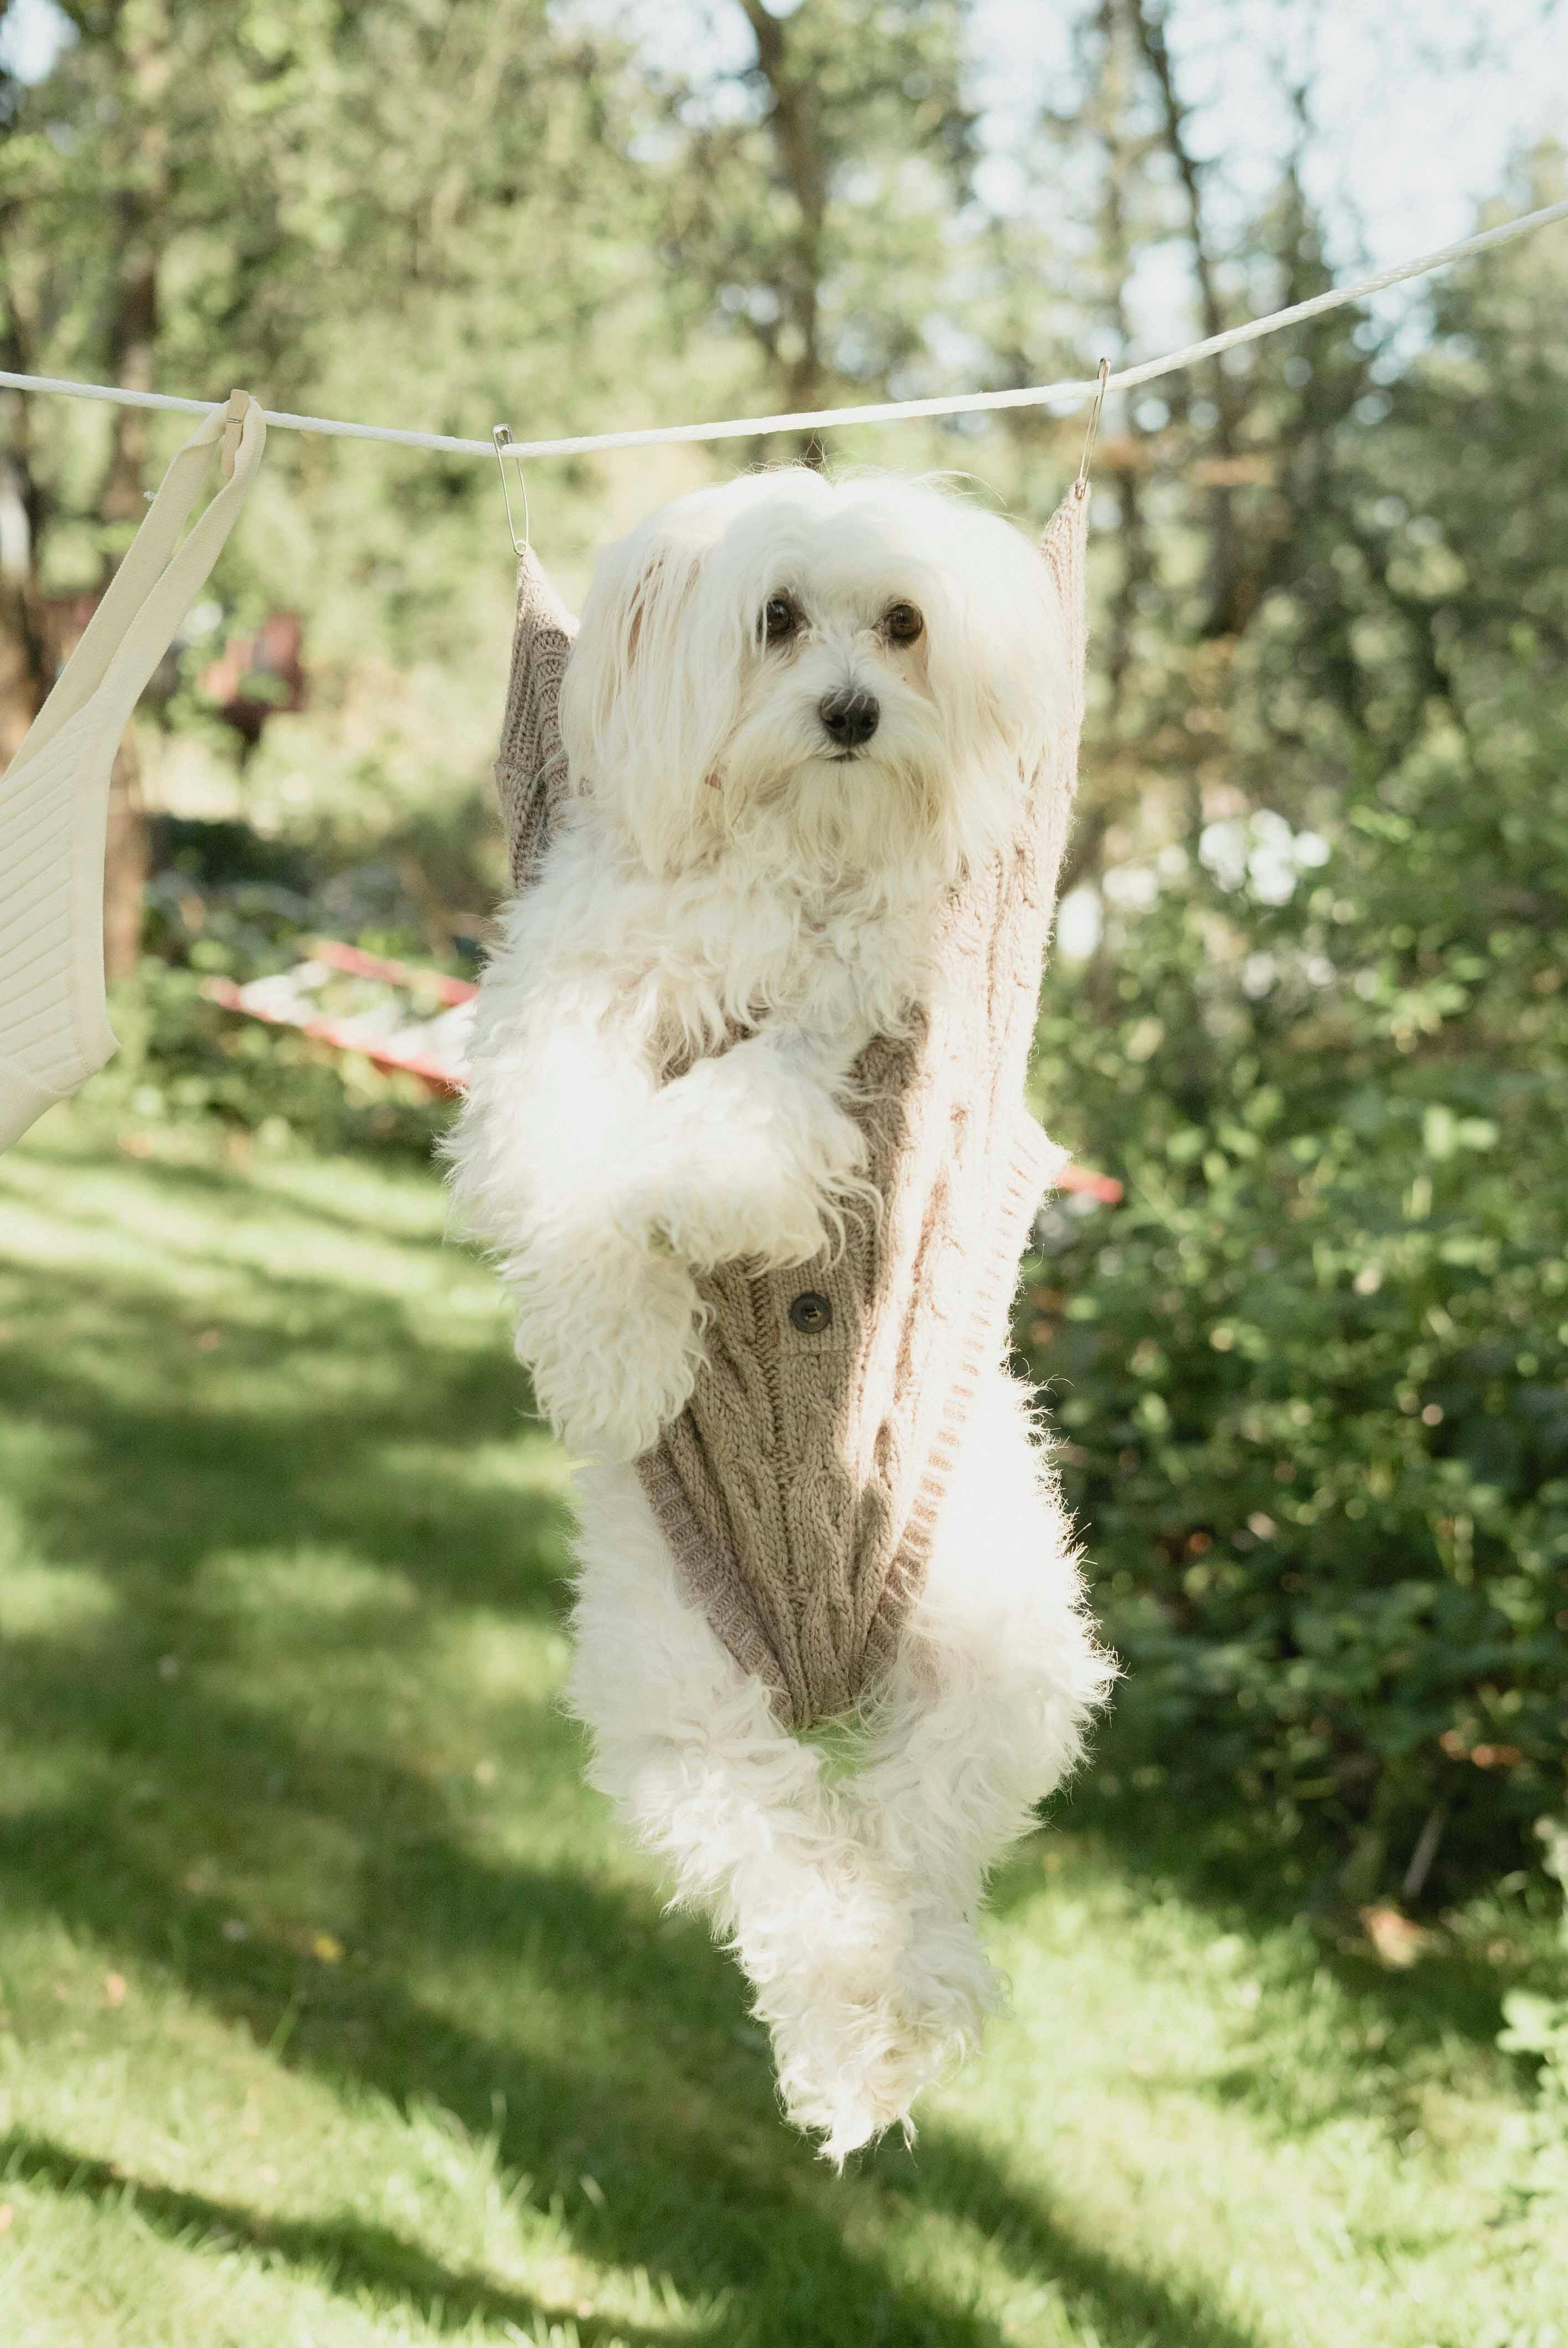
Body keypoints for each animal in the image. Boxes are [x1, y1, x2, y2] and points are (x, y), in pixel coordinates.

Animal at [450, 467, 1112, 2150]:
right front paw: (618, 1364)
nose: (853, 712)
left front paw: (693, 1207)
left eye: (904, 623)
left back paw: (894, 2017)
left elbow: (724, 1133)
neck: (785, 850)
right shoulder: (557, 1018)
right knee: (790, 1866)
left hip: (1007, 1656)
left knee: (915, 1842)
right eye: (777, 619)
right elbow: (567, 1173)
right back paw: (844, 2036)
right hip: (680, 1706)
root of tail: (824, 1678)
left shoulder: (856, 1031)